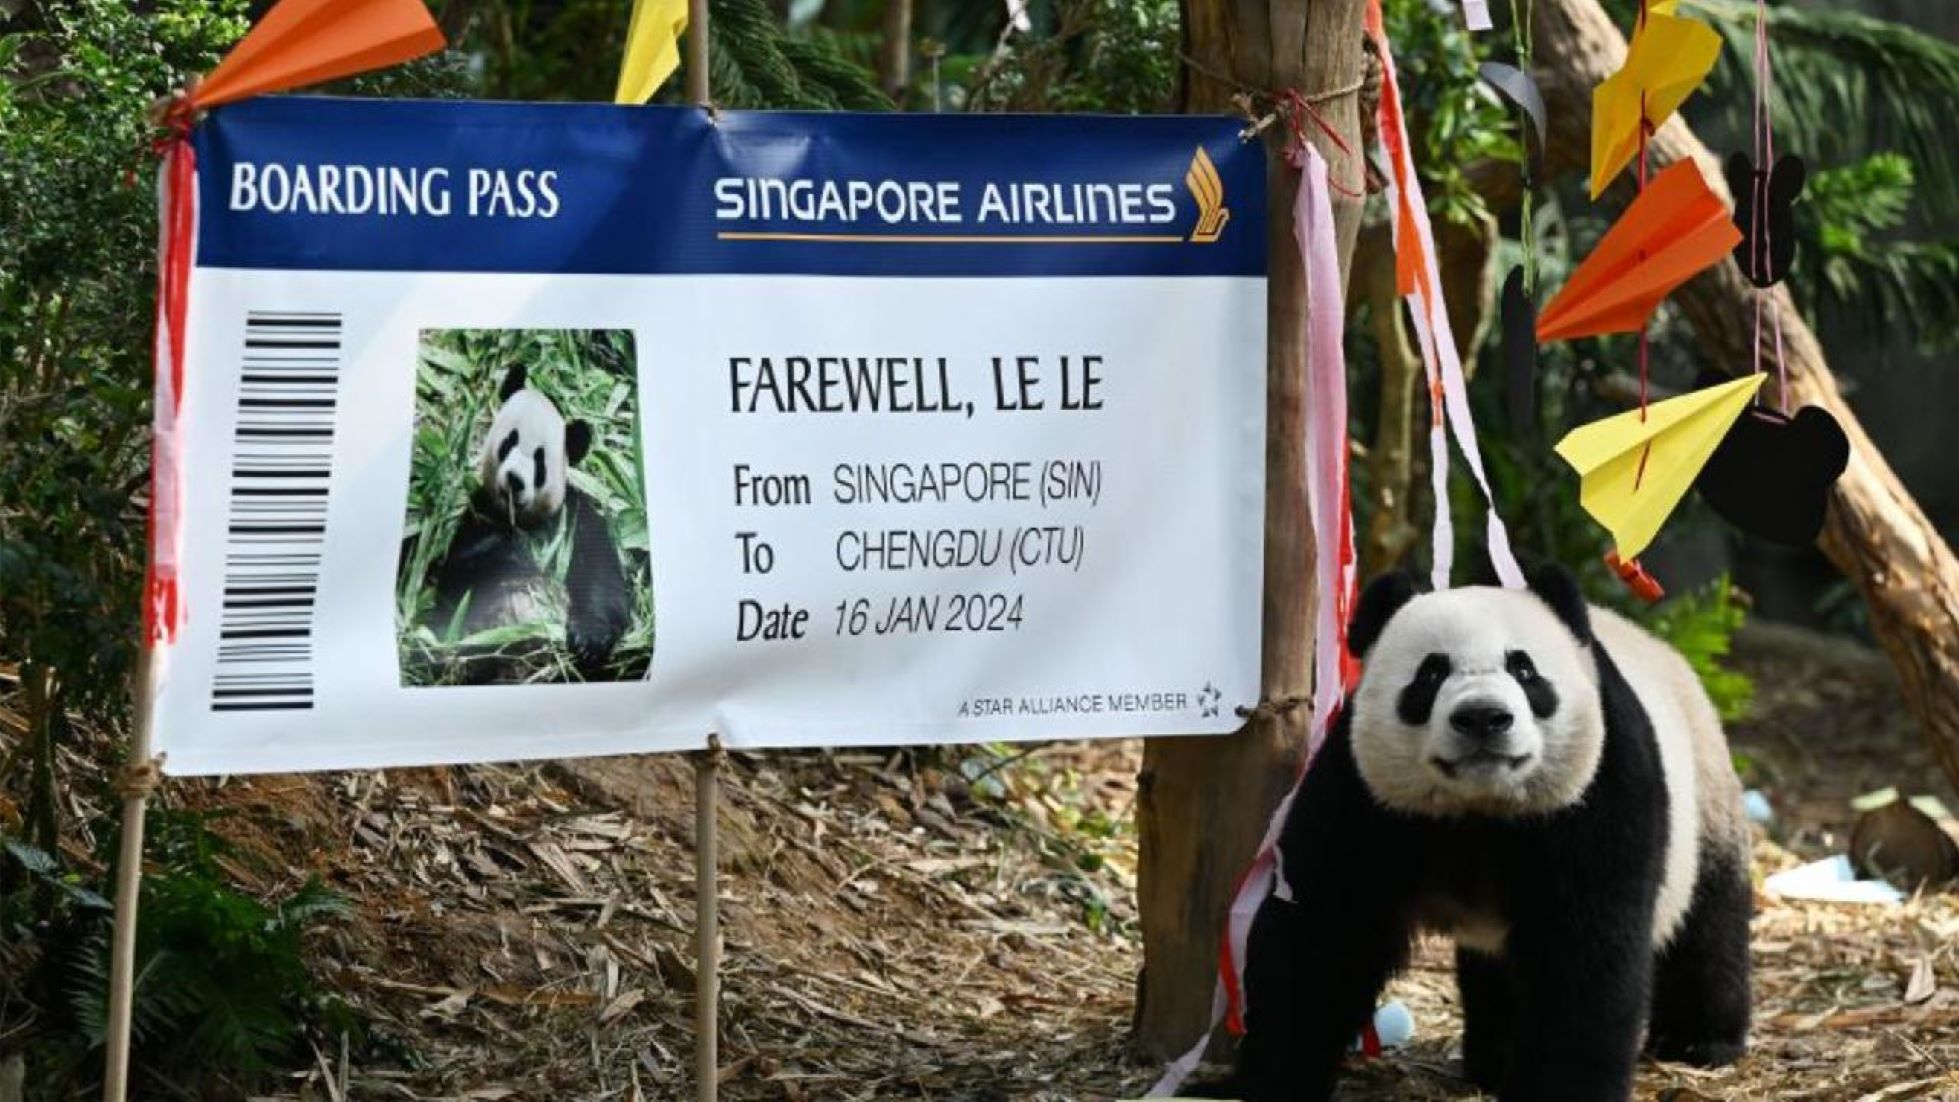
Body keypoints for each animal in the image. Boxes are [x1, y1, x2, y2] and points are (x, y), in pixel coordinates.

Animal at [423, 364, 630, 681]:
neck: (523, 519)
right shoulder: (479, 513)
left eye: (539, 460)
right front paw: (517, 554)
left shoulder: (573, 516)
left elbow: (601, 576)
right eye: (509, 442)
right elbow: (459, 573)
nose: (514, 480)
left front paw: (588, 639)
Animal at [1230, 563, 1755, 1102]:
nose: (1483, 717)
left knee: (1708, 919)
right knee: (1497, 970)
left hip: (1704, 790)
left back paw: (1699, 1040)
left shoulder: (1596, 794)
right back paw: (1492, 1060)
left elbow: (1583, 954)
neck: (1479, 806)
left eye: (1524, 670)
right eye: (1431, 673)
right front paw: (1272, 1077)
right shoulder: (1365, 801)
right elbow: (1322, 935)